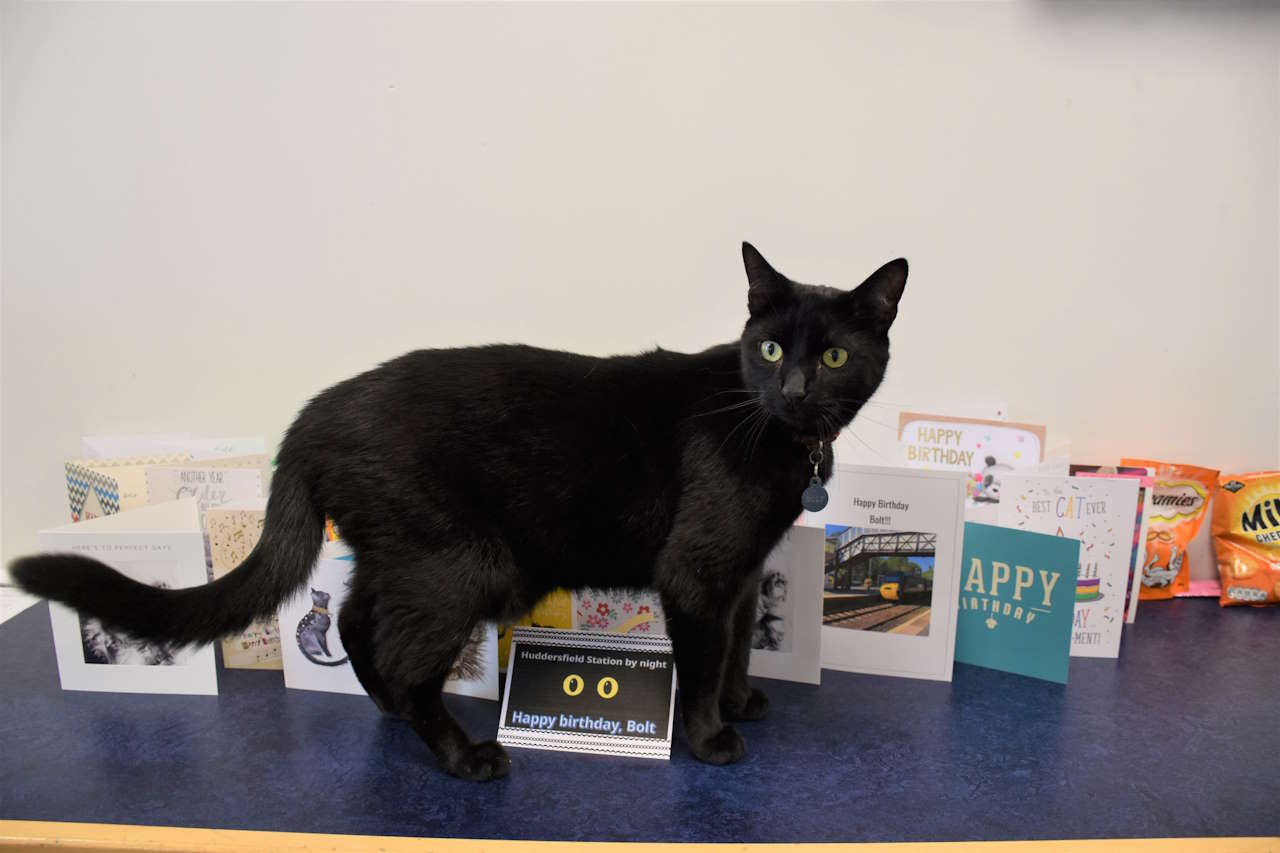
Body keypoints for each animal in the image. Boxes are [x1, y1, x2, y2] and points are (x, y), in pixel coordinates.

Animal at [15, 242, 906, 778]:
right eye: (769, 347)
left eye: (833, 355)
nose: (794, 388)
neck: (779, 436)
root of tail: (310, 419)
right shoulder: (700, 572)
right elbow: (705, 658)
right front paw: (711, 735)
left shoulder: (744, 575)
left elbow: (736, 650)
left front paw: (739, 697)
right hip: (465, 563)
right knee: (405, 659)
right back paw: (463, 753)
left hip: (407, 555)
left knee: (356, 623)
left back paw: (387, 708)